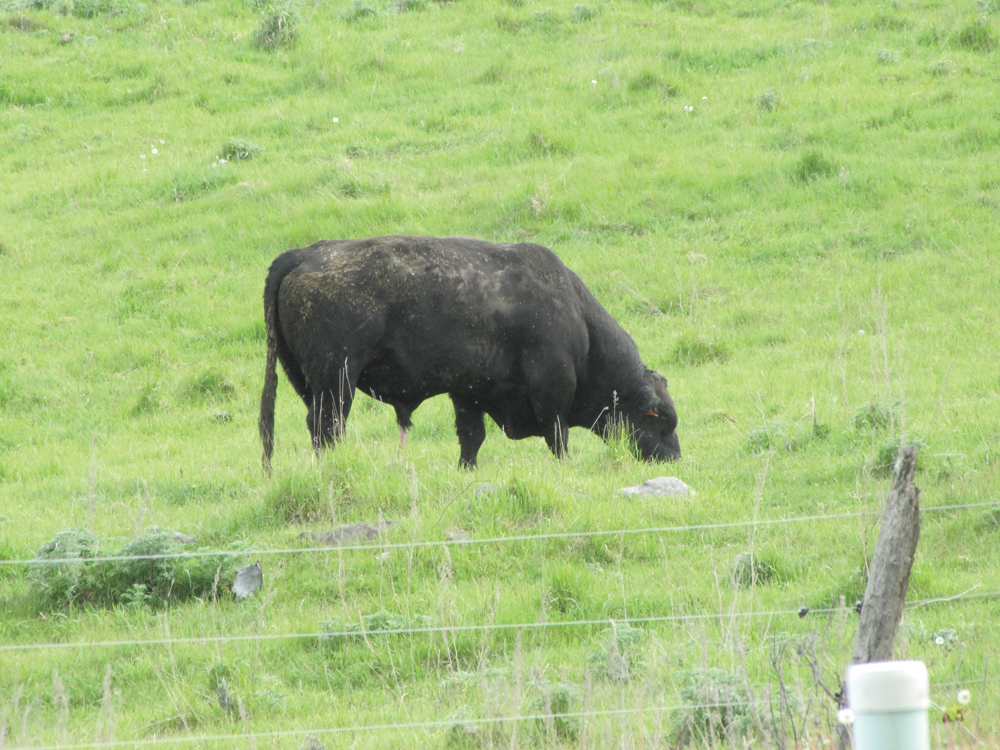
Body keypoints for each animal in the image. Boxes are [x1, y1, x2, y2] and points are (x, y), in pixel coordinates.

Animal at [258, 236, 680, 471]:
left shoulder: (468, 392)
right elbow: (557, 438)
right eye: (659, 418)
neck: (576, 317)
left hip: (309, 382)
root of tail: (301, 255)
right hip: (336, 380)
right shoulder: (552, 391)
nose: (673, 457)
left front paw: (466, 469)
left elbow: (471, 437)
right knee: (327, 426)